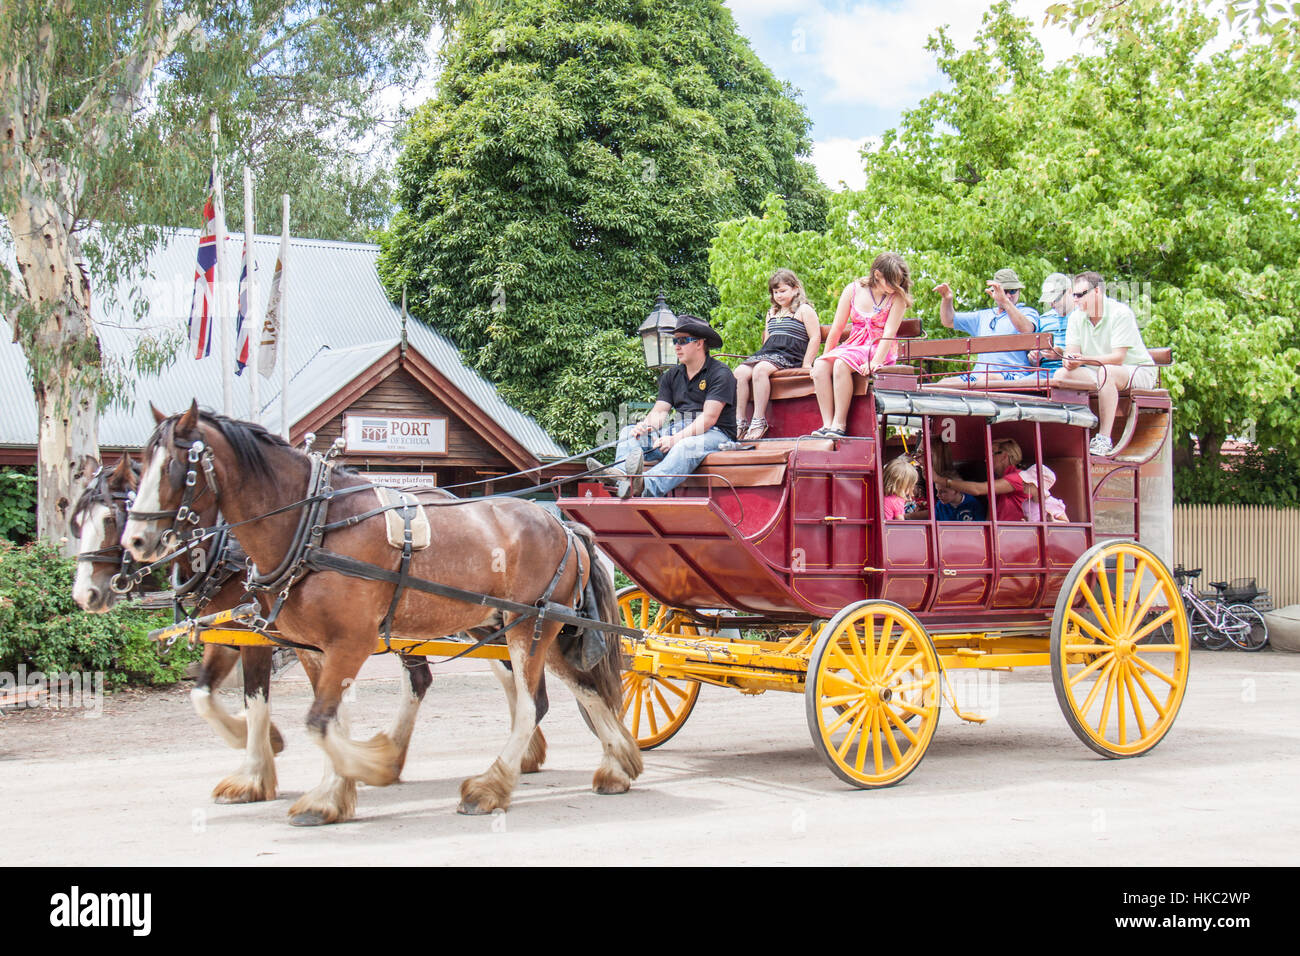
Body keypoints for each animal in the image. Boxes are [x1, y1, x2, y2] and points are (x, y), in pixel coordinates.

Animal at [124, 403, 642, 822]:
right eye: (137, 471)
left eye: (177, 467)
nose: (136, 542)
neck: (313, 525)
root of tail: (564, 525)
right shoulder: (311, 645)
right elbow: (323, 717)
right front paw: (333, 790)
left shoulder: (345, 641)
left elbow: (317, 720)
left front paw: (367, 766)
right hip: (530, 627)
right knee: (582, 688)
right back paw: (619, 763)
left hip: (532, 628)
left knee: (533, 704)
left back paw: (491, 786)